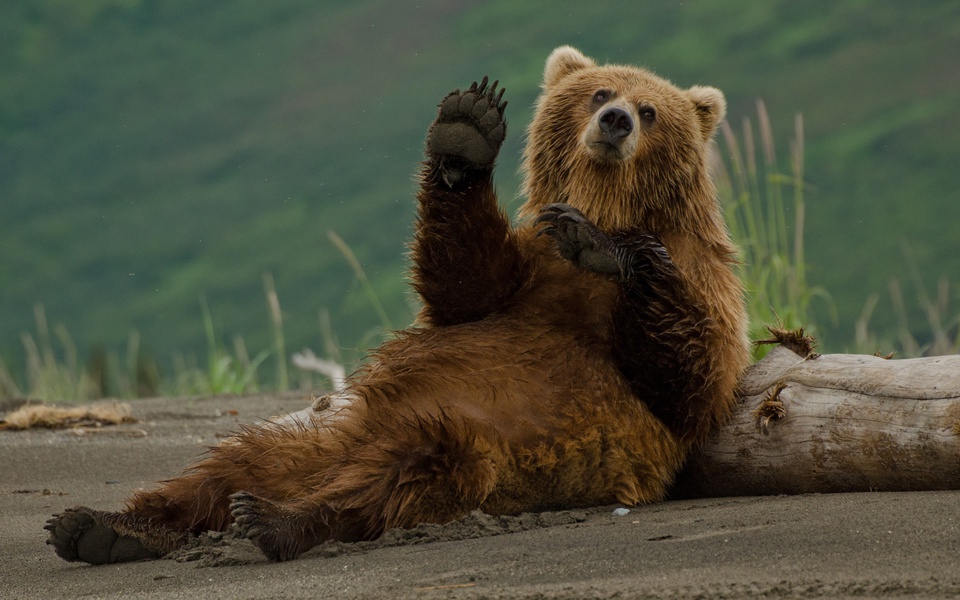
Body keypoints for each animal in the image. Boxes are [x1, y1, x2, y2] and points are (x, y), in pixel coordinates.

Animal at [45, 45, 752, 564]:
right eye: (600, 93)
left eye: (651, 109)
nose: (616, 122)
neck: (608, 201)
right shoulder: (523, 277)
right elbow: (463, 280)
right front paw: (467, 131)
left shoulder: (702, 286)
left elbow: (688, 376)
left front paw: (606, 247)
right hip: (311, 436)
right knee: (220, 466)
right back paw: (102, 526)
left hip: (477, 445)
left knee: (400, 473)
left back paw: (275, 519)